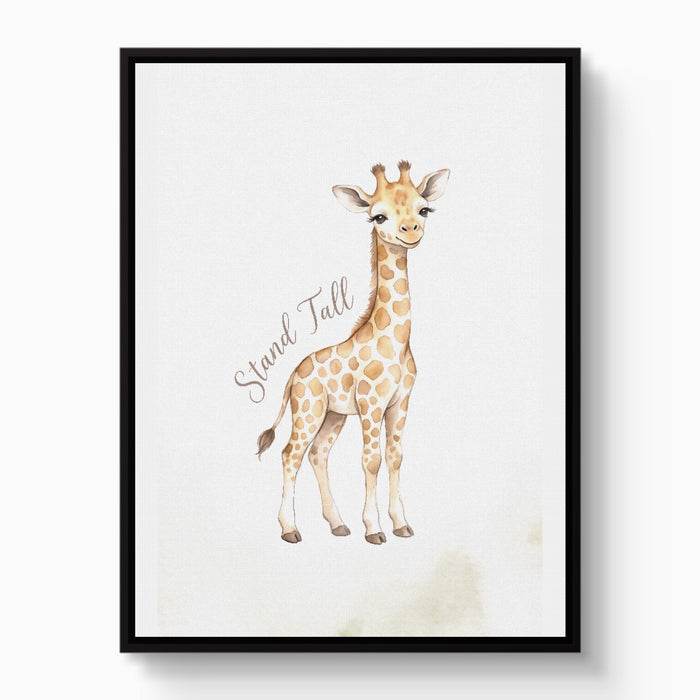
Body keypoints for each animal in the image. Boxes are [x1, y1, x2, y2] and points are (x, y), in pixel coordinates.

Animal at [257, 161, 450, 544]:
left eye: (424, 209)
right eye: (378, 216)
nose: (411, 230)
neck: (396, 342)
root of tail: (292, 376)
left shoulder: (400, 401)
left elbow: (395, 457)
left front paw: (401, 524)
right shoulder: (372, 402)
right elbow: (371, 460)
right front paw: (374, 529)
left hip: (333, 415)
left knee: (318, 454)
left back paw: (338, 524)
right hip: (309, 409)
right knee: (291, 453)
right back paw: (290, 529)